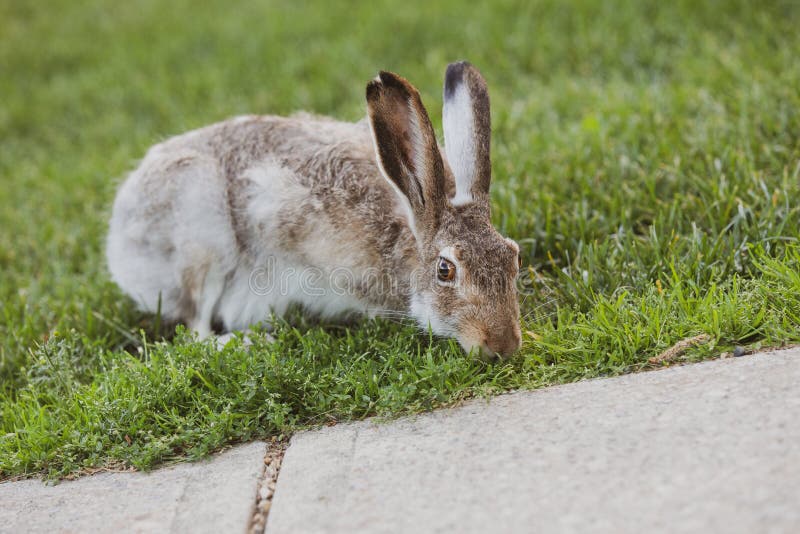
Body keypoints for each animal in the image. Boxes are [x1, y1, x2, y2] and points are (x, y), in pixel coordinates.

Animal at [106, 61, 520, 360]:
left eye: (513, 257)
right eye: (445, 270)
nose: (503, 346)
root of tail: (119, 236)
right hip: (201, 237)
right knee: (194, 326)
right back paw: (246, 343)